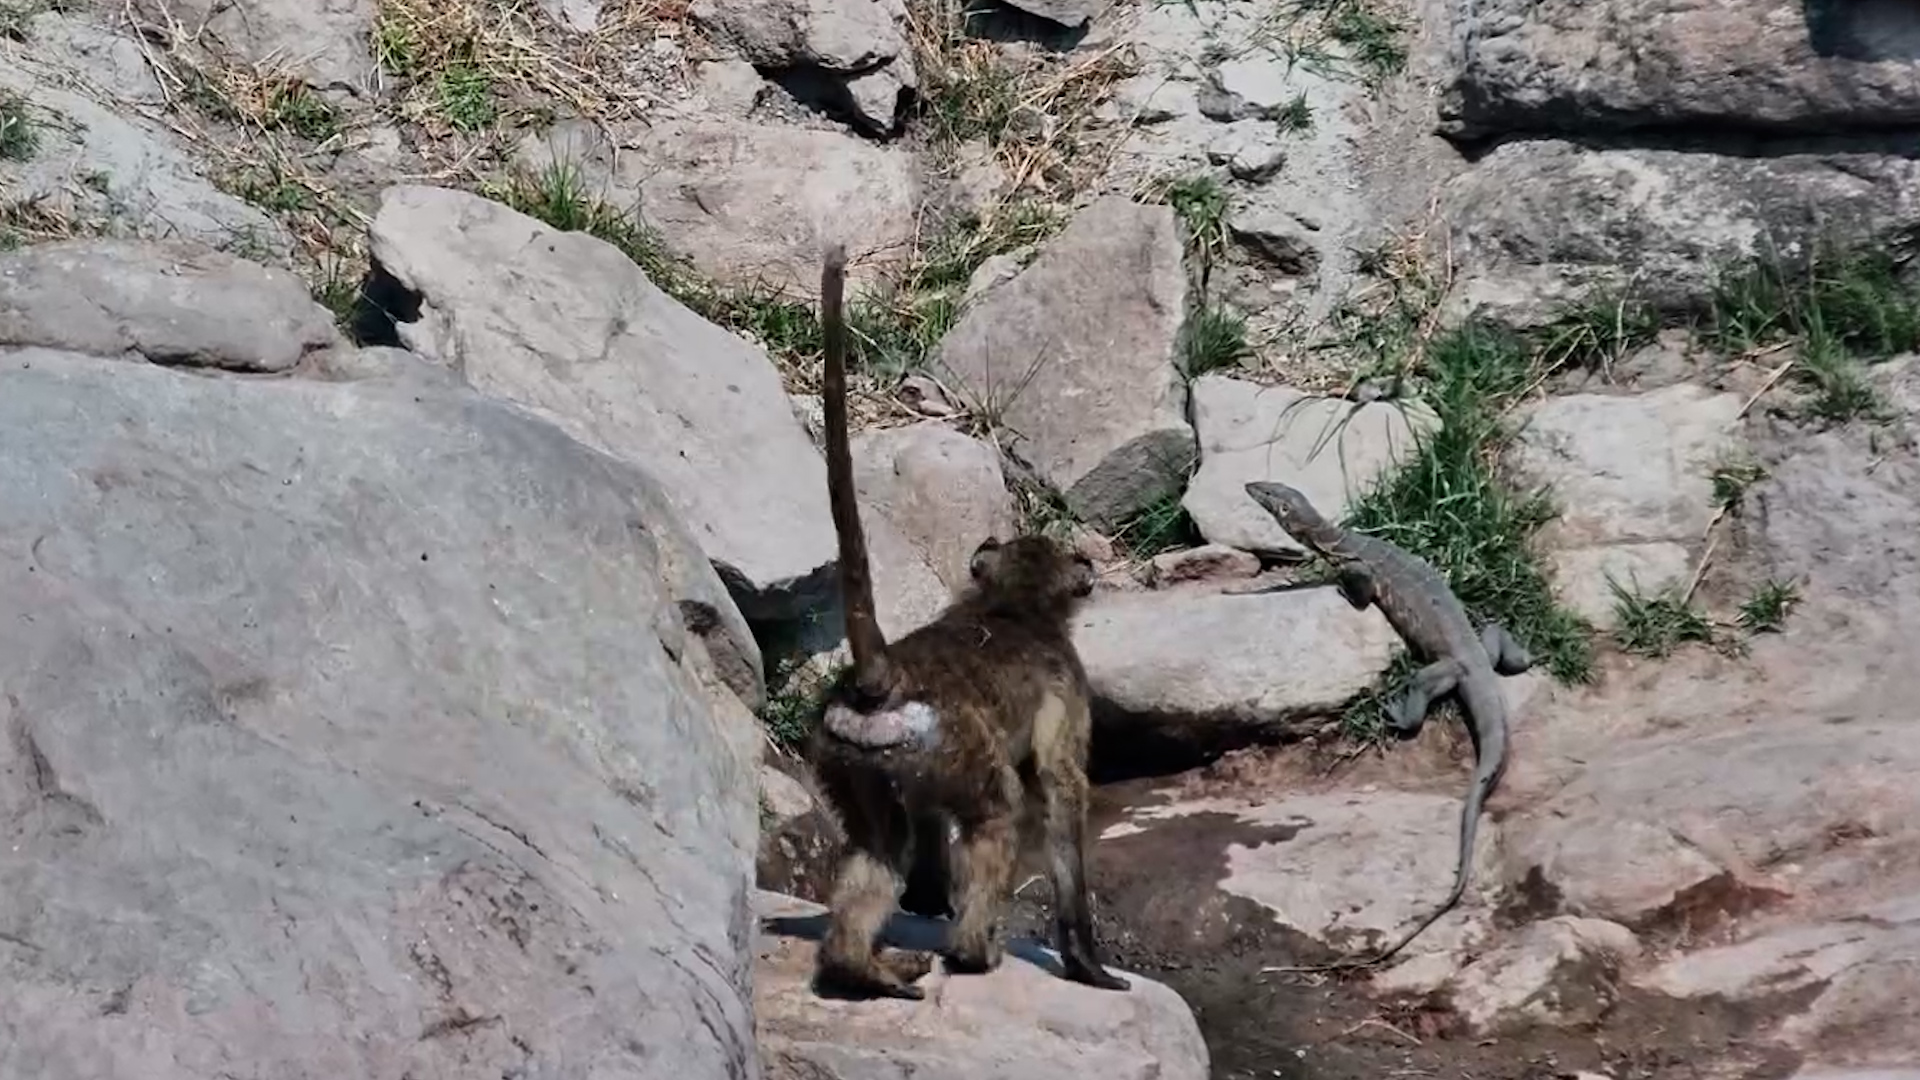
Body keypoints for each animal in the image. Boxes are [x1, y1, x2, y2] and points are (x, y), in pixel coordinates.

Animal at [802, 242, 1129, 1001]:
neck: (1009, 605)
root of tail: (882, 679)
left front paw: (925, 897)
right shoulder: (1069, 688)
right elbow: (1062, 792)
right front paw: (1084, 957)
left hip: (855, 755)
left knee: (880, 845)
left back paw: (859, 964)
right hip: (951, 750)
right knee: (1000, 808)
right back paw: (975, 950)